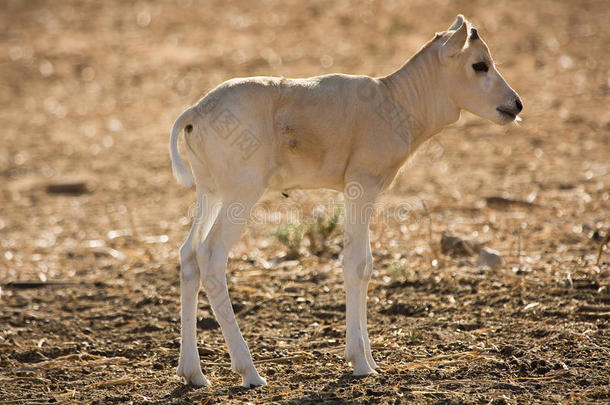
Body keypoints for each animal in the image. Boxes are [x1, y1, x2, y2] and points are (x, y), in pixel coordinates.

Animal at [169, 14, 520, 386]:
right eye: (479, 64)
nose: (516, 105)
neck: (393, 97)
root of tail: (195, 113)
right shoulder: (360, 188)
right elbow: (356, 263)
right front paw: (360, 362)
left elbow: (366, 266)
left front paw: (370, 361)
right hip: (241, 195)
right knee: (211, 257)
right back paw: (249, 372)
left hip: (211, 195)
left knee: (189, 255)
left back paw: (194, 373)